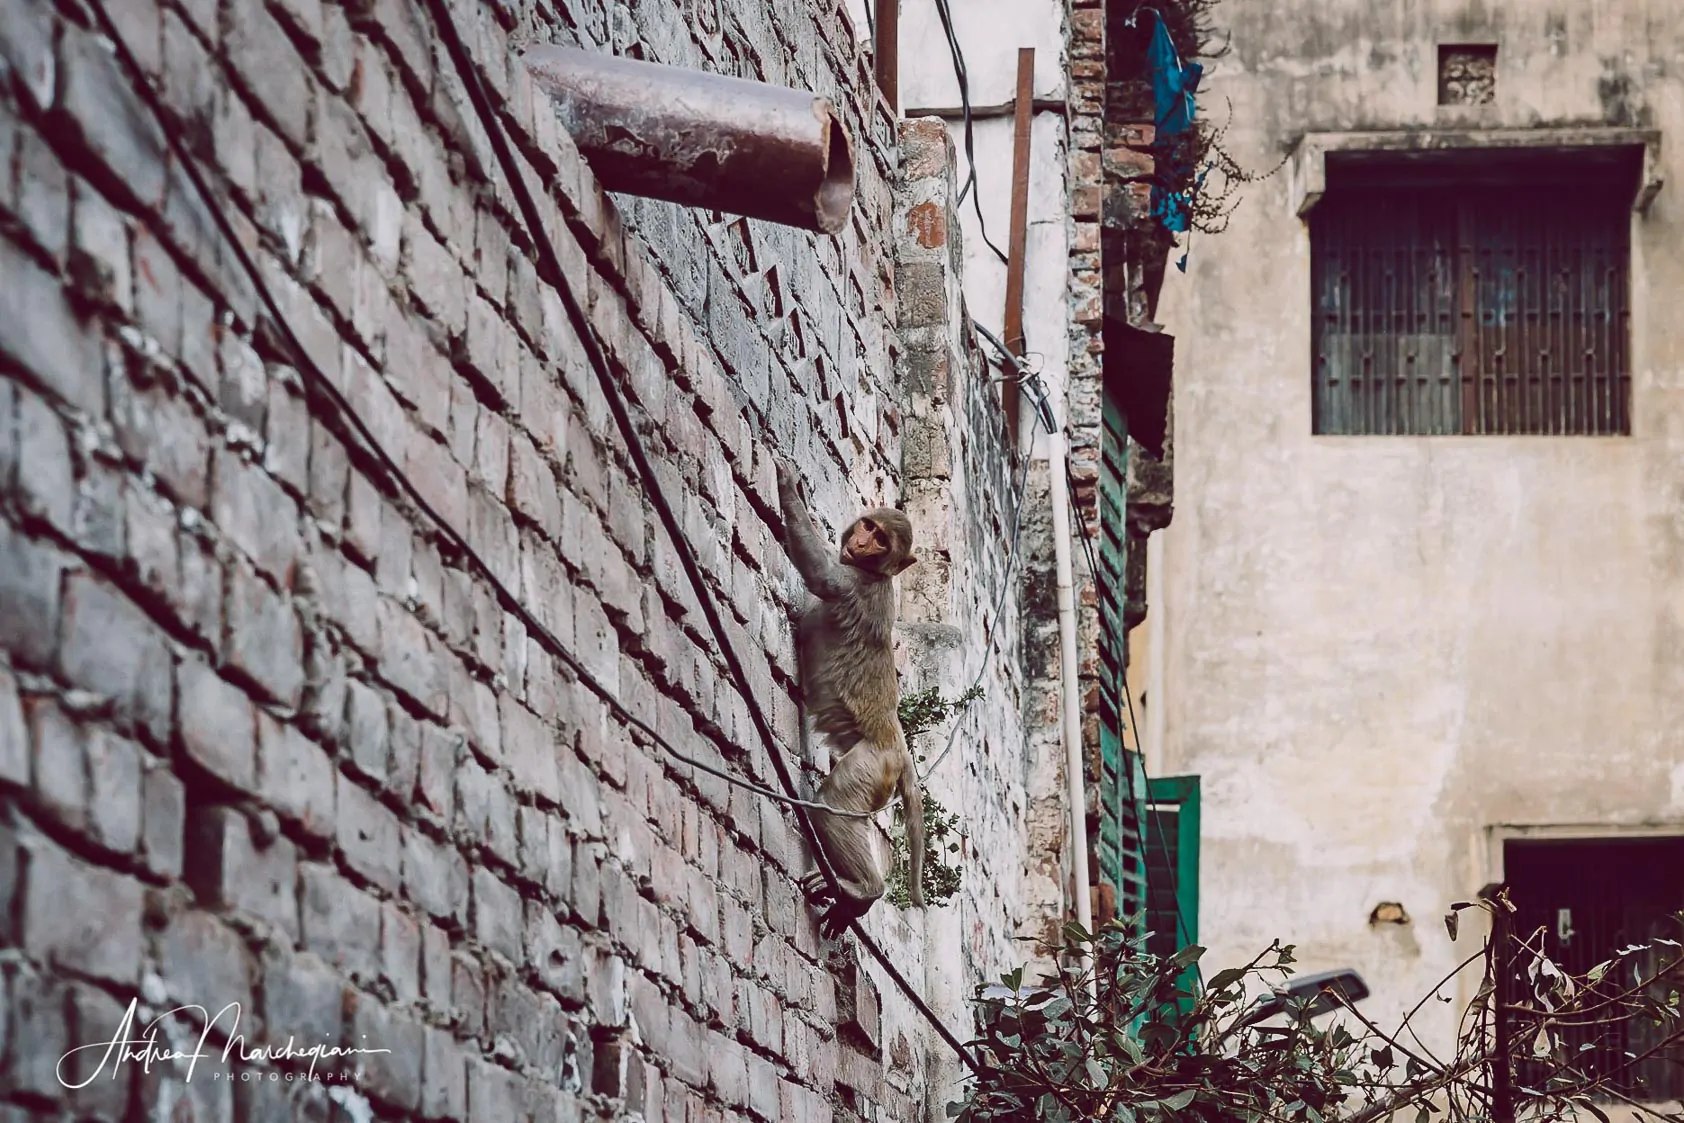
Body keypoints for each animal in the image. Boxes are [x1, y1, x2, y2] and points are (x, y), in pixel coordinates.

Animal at [771, 457, 929, 942]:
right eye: (869, 526)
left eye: (880, 540)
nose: (861, 541)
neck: (879, 575)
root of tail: (898, 747)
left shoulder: (854, 584)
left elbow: (820, 572)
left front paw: (787, 485)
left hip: (873, 767)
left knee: (835, 804)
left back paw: (864, 889)